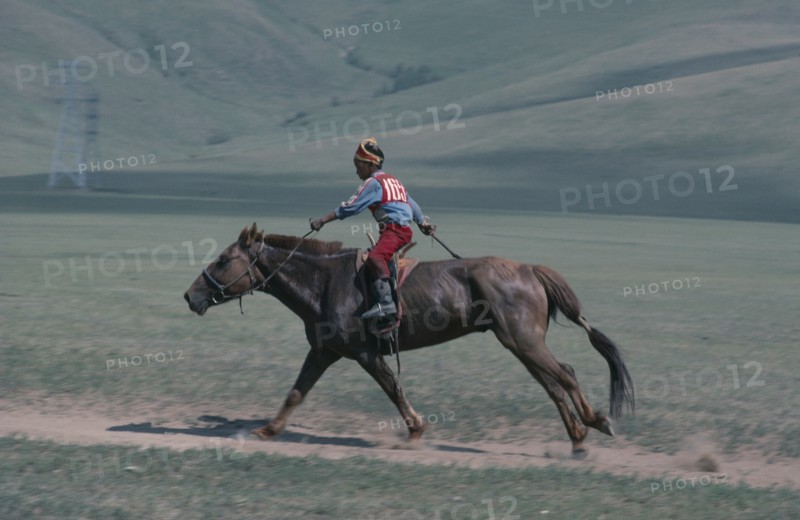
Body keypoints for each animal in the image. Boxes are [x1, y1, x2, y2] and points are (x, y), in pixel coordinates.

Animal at [183, 223, 634, 457]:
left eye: (223, 260)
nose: (190, 296)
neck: (324, 282)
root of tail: (529, 269)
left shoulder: (364, 353)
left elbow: (393, 388)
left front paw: (416, 430)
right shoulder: (324, 351)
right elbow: (296, 392)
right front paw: (267, 430)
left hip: (523, 342)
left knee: (565, 375)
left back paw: (595, 425)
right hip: (520, 345)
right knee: (555, 383)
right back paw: (578, 437)